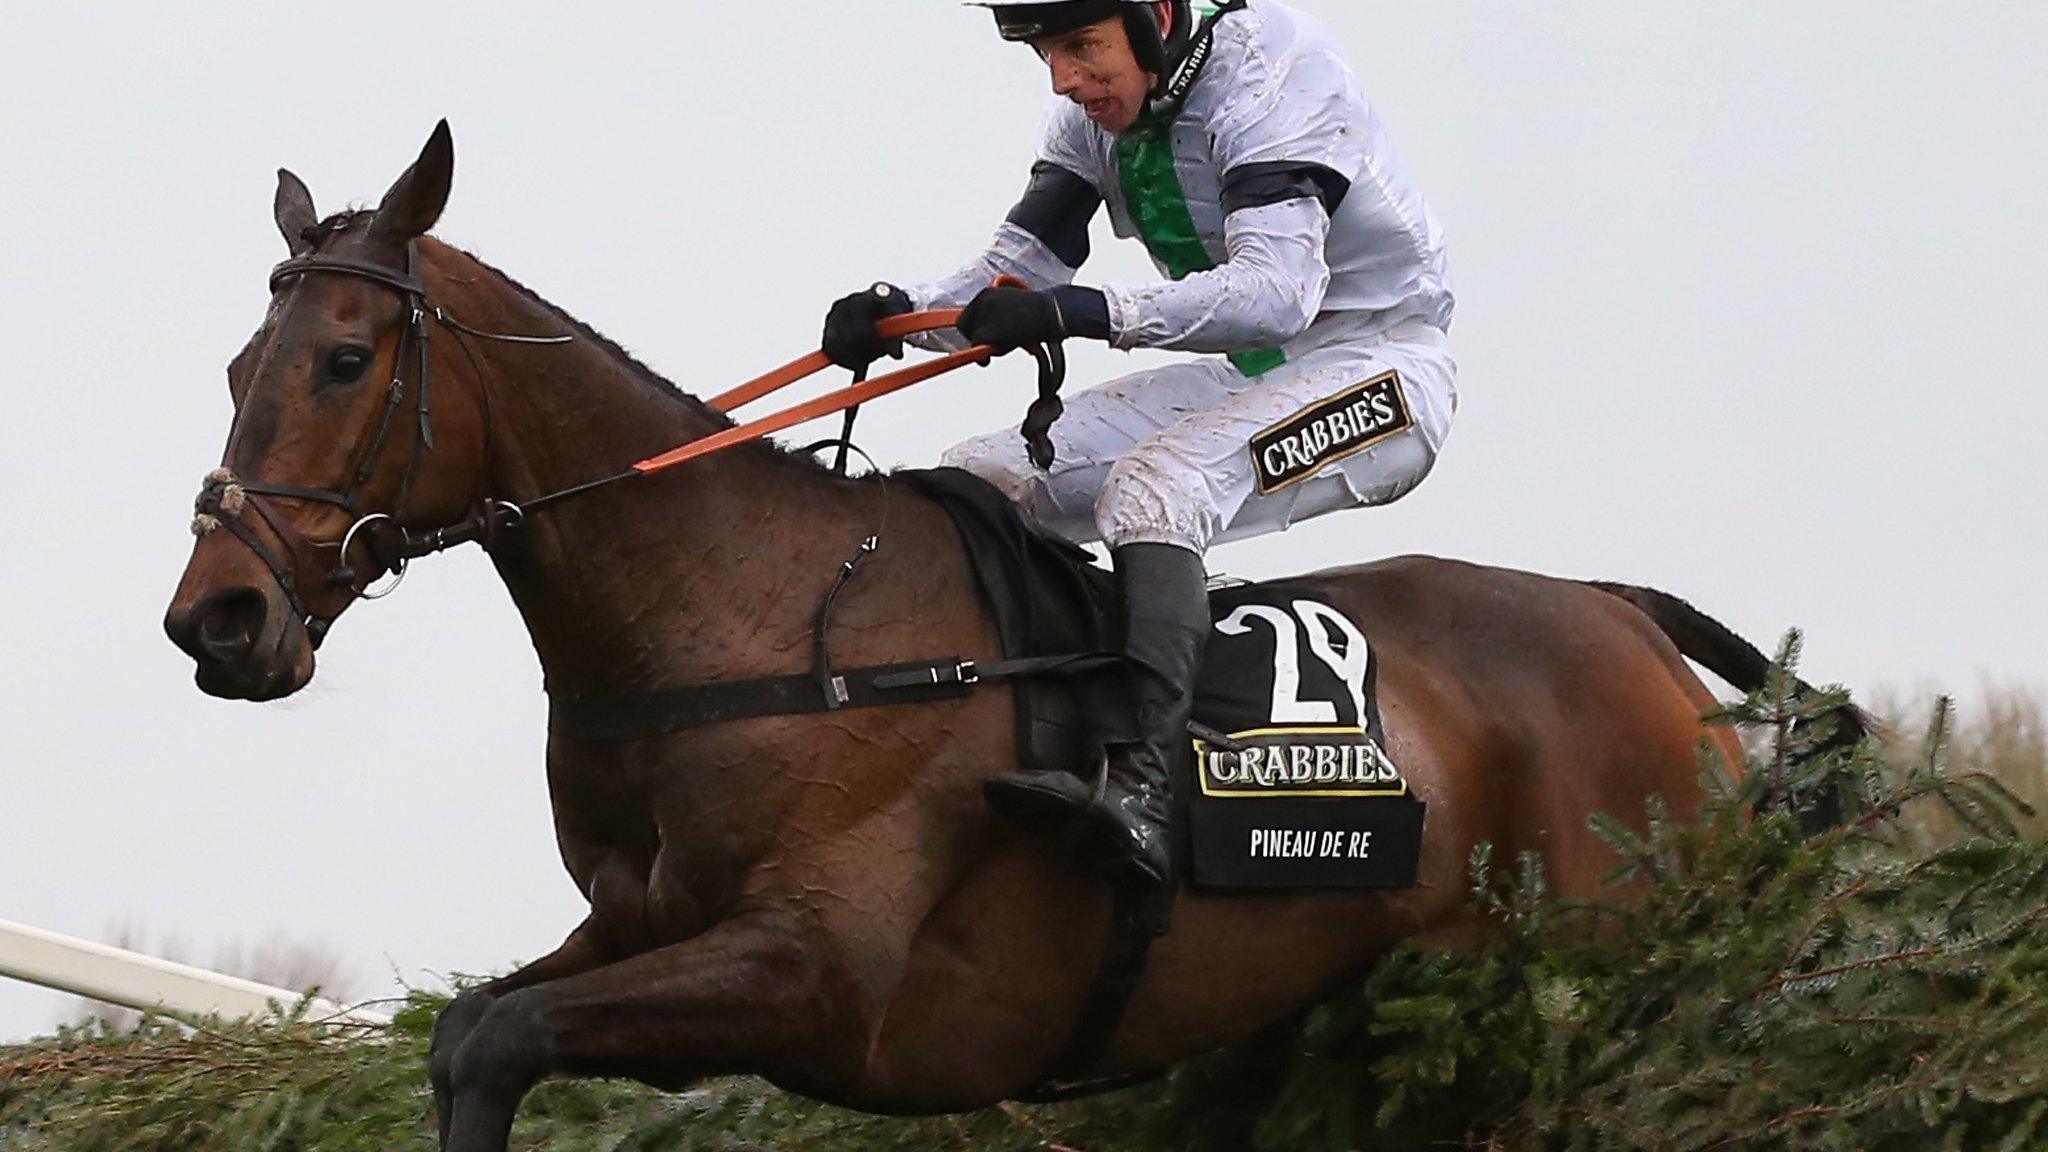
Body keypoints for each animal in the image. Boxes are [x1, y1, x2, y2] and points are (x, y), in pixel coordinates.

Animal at [167, 120, 1867, 1139]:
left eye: (342, 358)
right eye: (241, 359)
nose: (216, 621)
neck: (751, 614)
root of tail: (1623, 620)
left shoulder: (814, 975)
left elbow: (494, 1040)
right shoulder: (640, 927)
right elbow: (478, 1024)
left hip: (1610, 946)